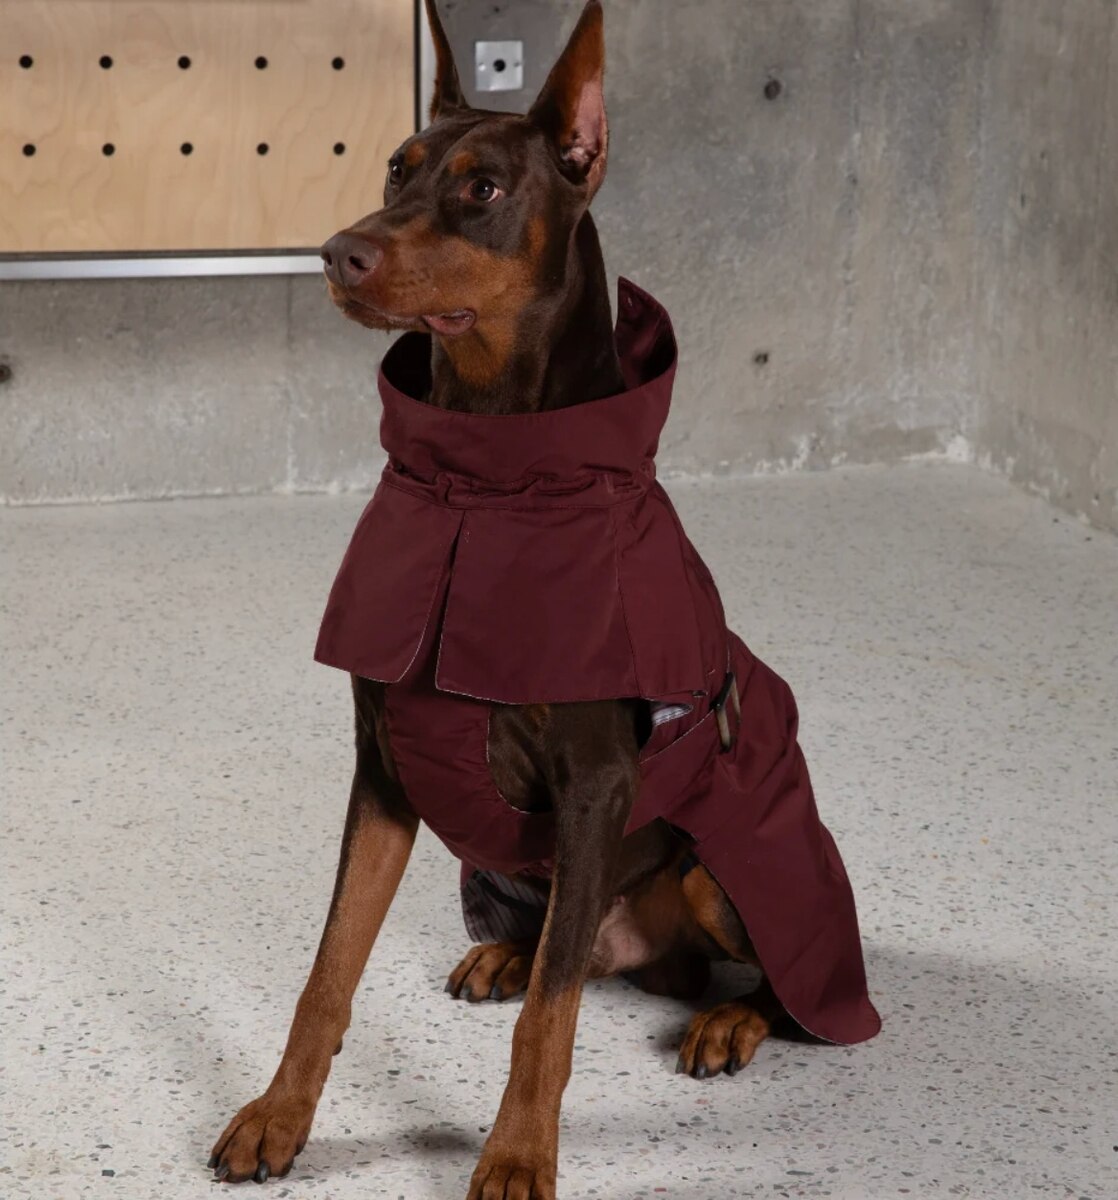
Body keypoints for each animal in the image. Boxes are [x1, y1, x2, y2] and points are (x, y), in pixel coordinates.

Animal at [209, 4, 880, 1196]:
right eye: (397, 167)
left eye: (482, 189)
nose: (339, 252)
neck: (484, 477)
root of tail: (647, 950)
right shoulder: (384, 768)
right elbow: (329, 969)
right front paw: (278, 1116)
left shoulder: (596, 785)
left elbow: (552, 1025)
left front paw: (517, 1153)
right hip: (490, 862)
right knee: (577, 952)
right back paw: (508, 952)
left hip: (717, 872)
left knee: (749, 983)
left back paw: (726, 1020)